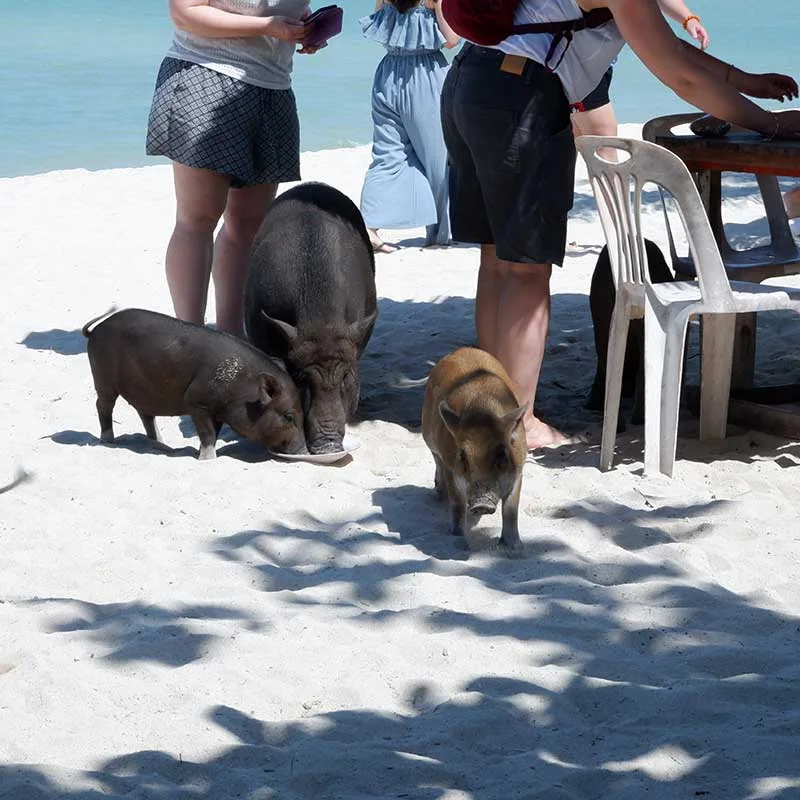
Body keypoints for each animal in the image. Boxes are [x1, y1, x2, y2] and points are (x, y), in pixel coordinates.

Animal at [82, 308, 307, 460]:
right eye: (289, 416)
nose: (304, 450)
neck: (241, 386)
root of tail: (95, 330)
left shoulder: (216, 412)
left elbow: (214, 434)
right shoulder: (196, 402)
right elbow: (207, 434)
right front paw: (207, 459)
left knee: (145, 414)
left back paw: (161, 445)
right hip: (103, 380)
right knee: (103, 406)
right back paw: (108, 441)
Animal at [421, 347, 528, 550]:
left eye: (502, 455)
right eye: (462, 456)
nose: (481, 504)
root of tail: (462, 349)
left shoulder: (518, 469)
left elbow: (511, 509)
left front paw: (514, 546)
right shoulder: (451, 468)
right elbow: (457, 505)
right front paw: (457, 537)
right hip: (427, 436)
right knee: (436, 459)